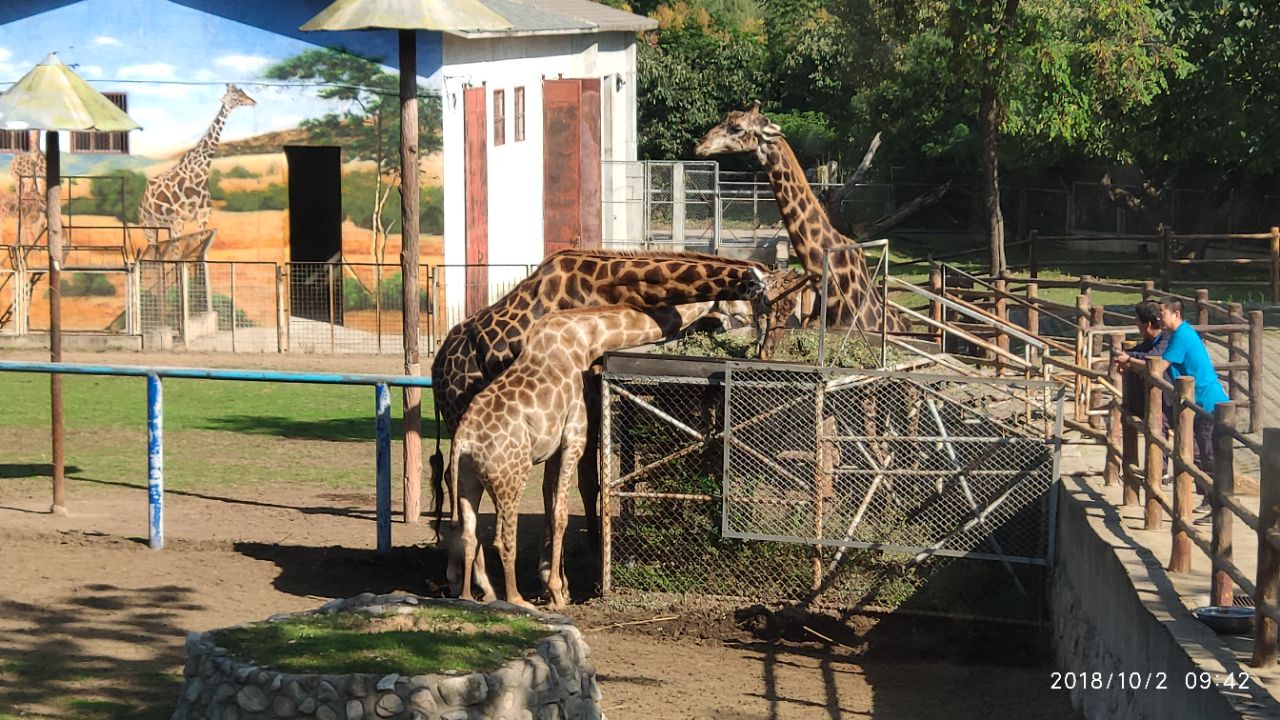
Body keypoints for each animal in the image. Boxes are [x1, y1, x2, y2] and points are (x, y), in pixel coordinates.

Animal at [138, 84, 256, 243]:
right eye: (234, 96)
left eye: (242, 91)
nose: (253, 101)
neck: (198, 174)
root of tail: (142, 197)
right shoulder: (178, 220)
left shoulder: (203, 217)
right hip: (148, 224)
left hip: (163, 224)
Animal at [445, 297, 742, 604]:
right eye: (731, 307)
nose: (744, 318)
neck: (587, 339)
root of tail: (463, 441)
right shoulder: (575, 434)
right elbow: (561, 512)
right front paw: (557, 593)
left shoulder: (555, 447)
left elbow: (552, 506)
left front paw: (557, 585)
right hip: (509, 479)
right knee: (502, 538)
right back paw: (515, 599)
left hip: (468, 479)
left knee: (469, 534)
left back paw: (470, 596)